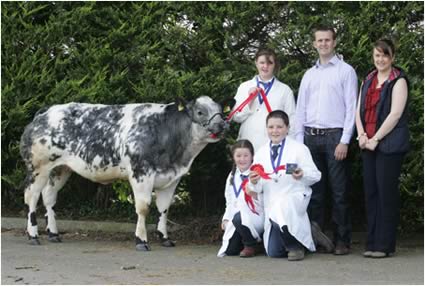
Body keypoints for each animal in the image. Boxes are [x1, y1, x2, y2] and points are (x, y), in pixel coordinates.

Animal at [21, 96, 230, 250]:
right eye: (200, 112)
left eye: (221, 110)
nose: (223, 125)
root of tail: (46, 111)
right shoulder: (141, 174)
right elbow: (143, 208)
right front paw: (141, 241)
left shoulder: (172, 179)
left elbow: (164, 208)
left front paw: (164, 238)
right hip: (38, 167)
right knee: (32, 197)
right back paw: (33, 235)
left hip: (60, 169)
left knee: (49, 197)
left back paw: (53, 234)